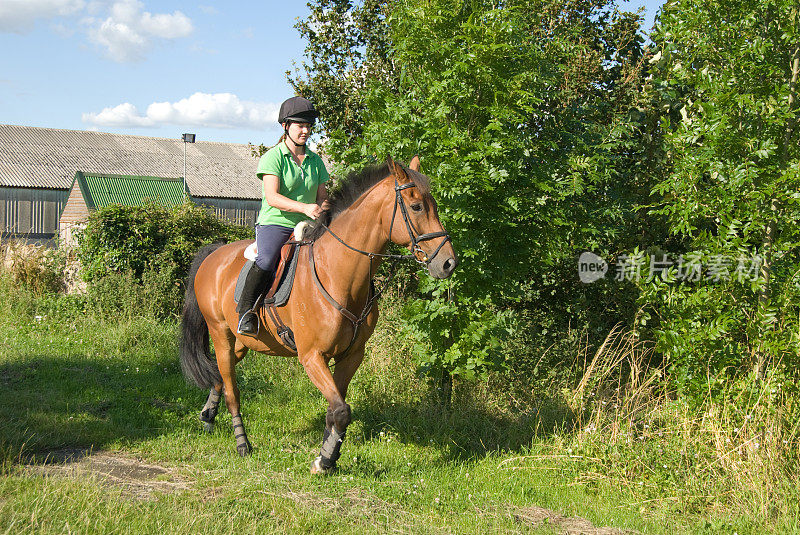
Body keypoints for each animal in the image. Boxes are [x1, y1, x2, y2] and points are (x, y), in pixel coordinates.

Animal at [180, 157, 456, 476]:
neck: (338, 272)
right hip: (220, 332)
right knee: (231, 389)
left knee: (219, 376)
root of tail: (215, 253)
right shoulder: (312, 356)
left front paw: (329, 456)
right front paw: (323, 461)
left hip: (242, 342)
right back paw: (242, 444)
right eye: (416, 207)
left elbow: (336, 409)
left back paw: (207, 416)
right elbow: (341, 410)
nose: (448, 263)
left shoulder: (352, 355)